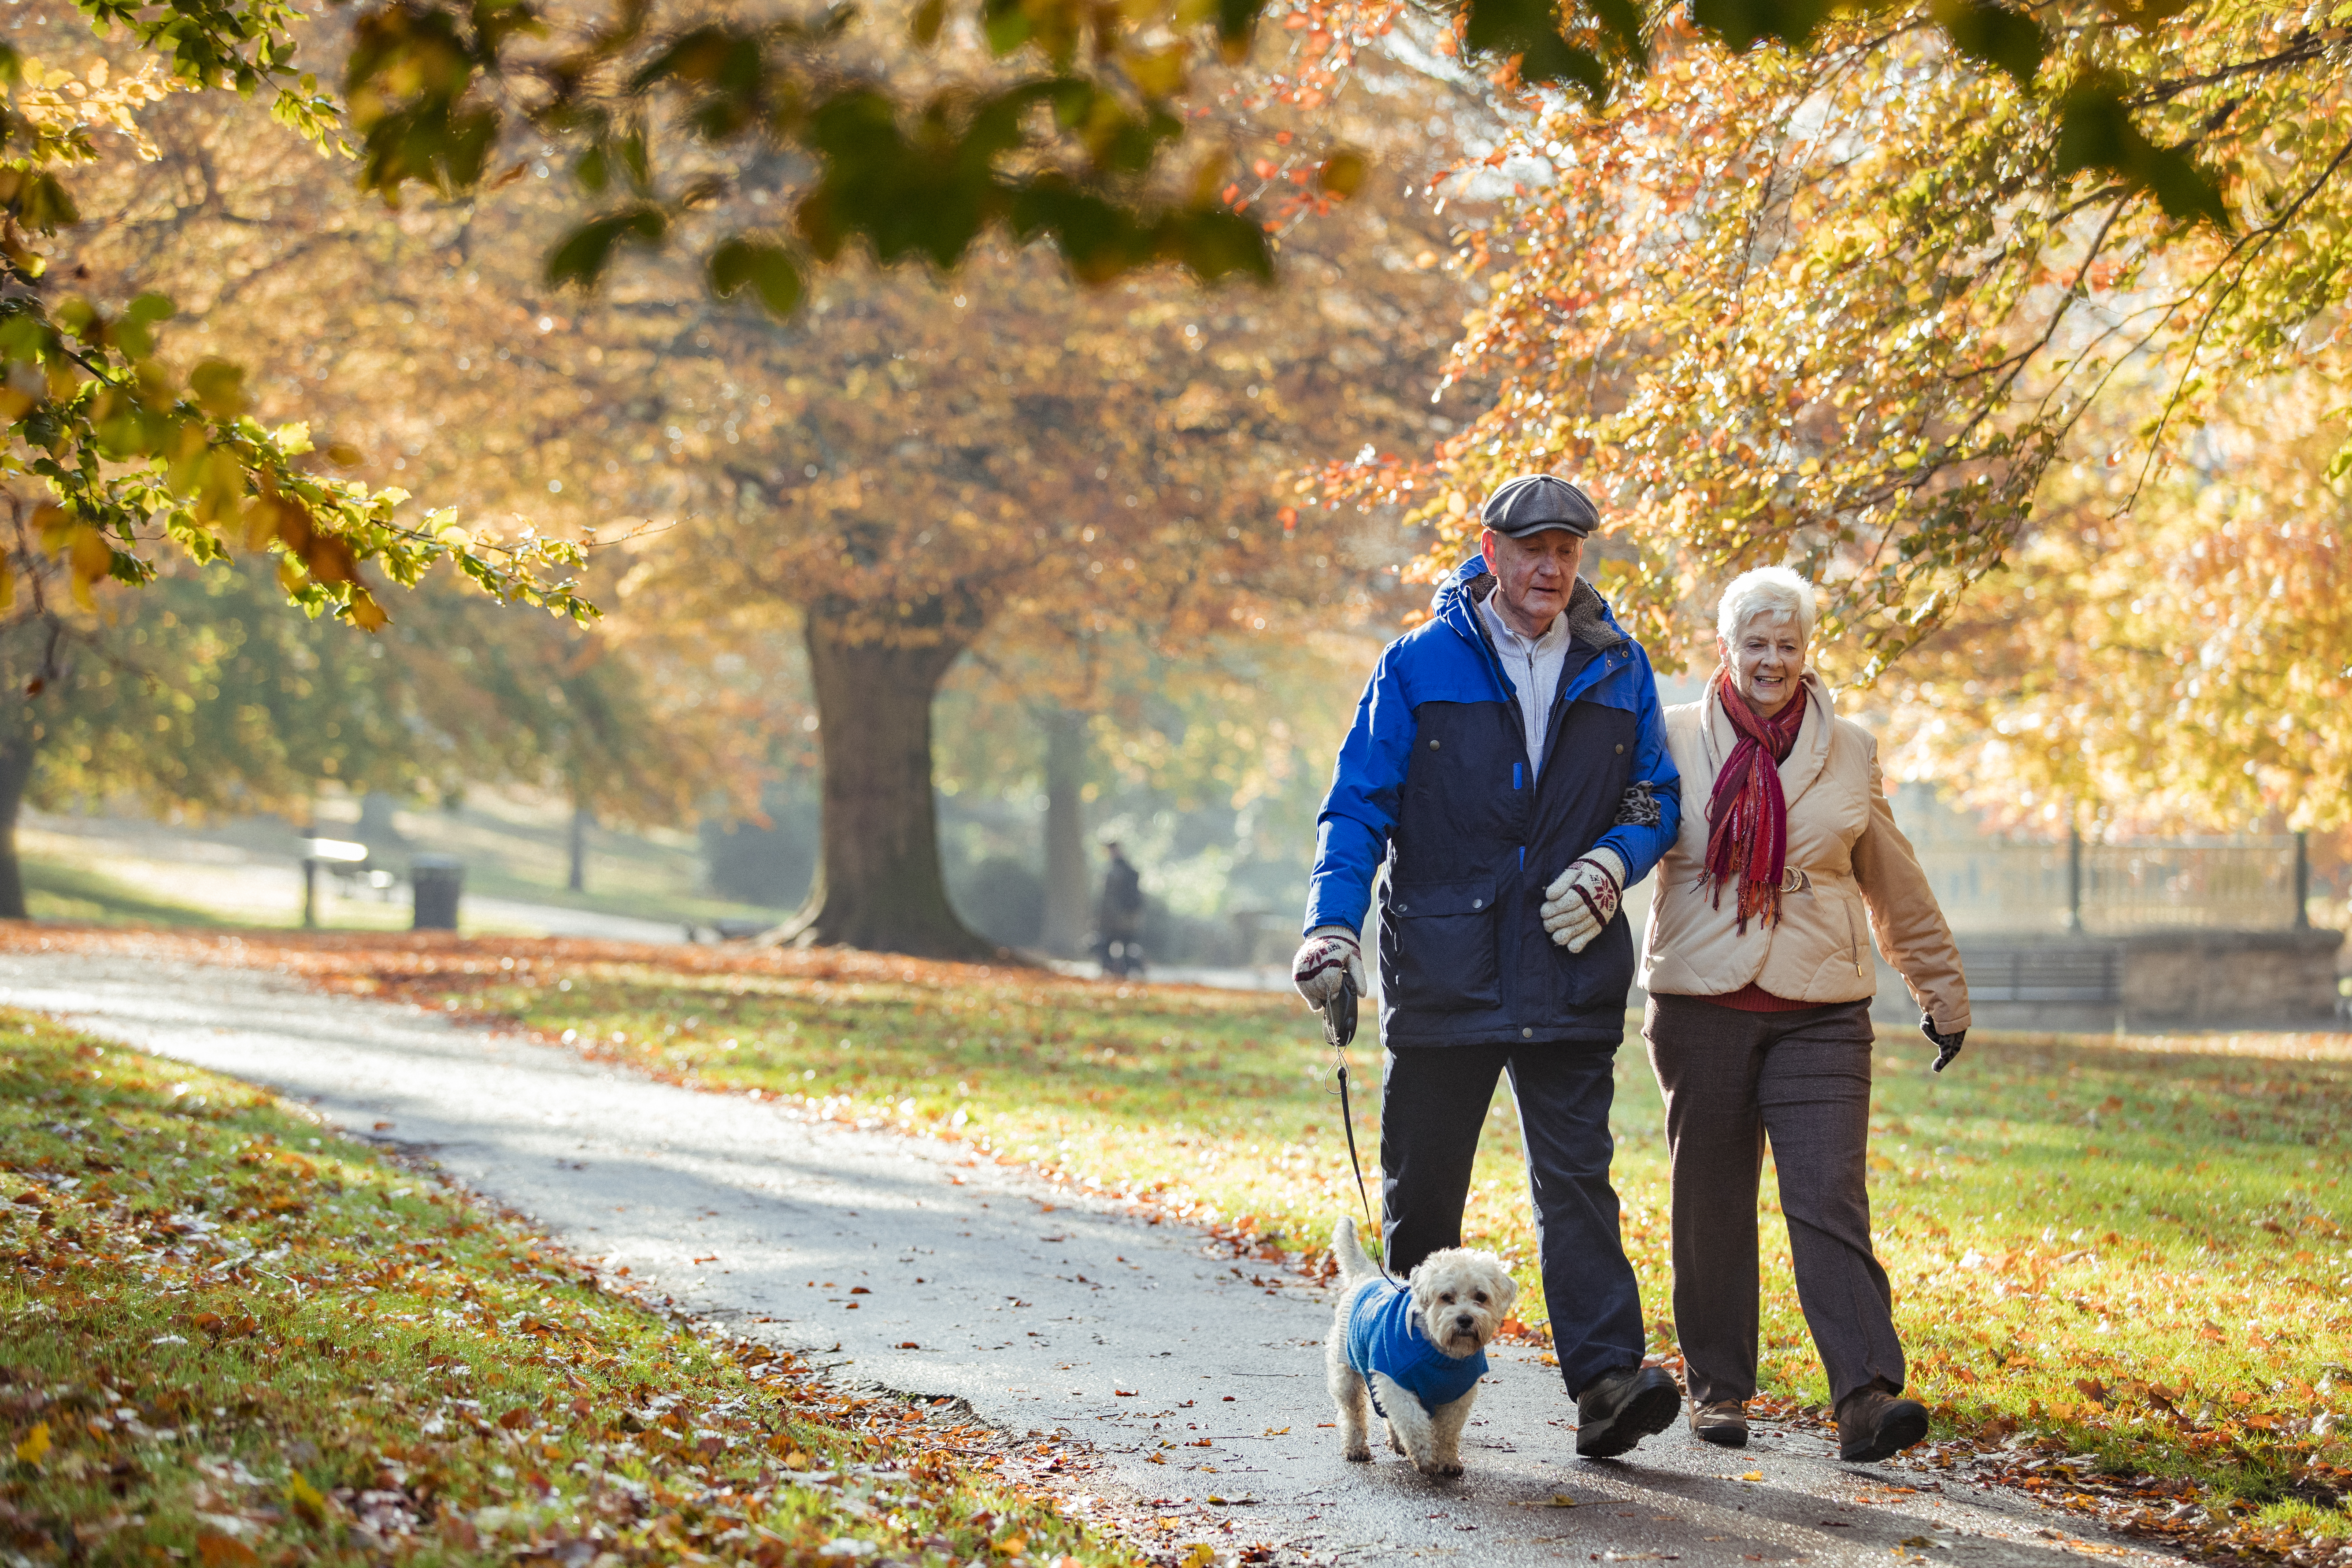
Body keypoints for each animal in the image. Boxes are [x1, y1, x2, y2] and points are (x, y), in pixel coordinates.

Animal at [1317, 1222, 1515, 1476]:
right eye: (1446, 1297)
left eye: (1481, 1297)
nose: (1465, 1319)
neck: (1441, 1354)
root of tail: (1367, 1275)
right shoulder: (1396, 1384)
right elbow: (1414, 1422)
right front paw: (1426, 1457)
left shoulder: (1458, 1395)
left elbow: (1448, 1430)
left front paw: (1448, 1460)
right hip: (1347, 1375)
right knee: (1353, 1413)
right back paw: (1356, 1447)